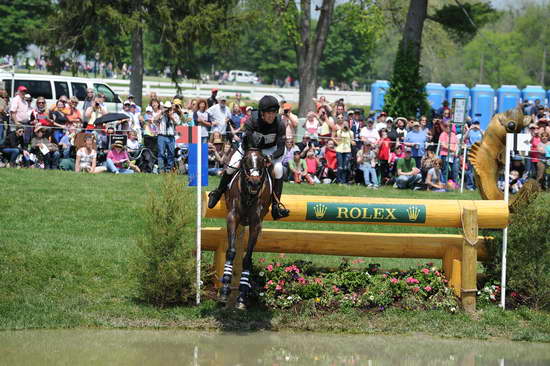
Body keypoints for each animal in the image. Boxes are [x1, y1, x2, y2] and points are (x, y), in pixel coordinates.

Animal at [218, 148, 274, 308]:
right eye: (246, 161)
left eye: (262, 162)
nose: (254, 182)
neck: (249, 195)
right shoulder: (232, 217)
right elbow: (231, 251)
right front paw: (225, 290)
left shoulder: (256, 224)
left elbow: (248, 258)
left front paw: (242, 296)